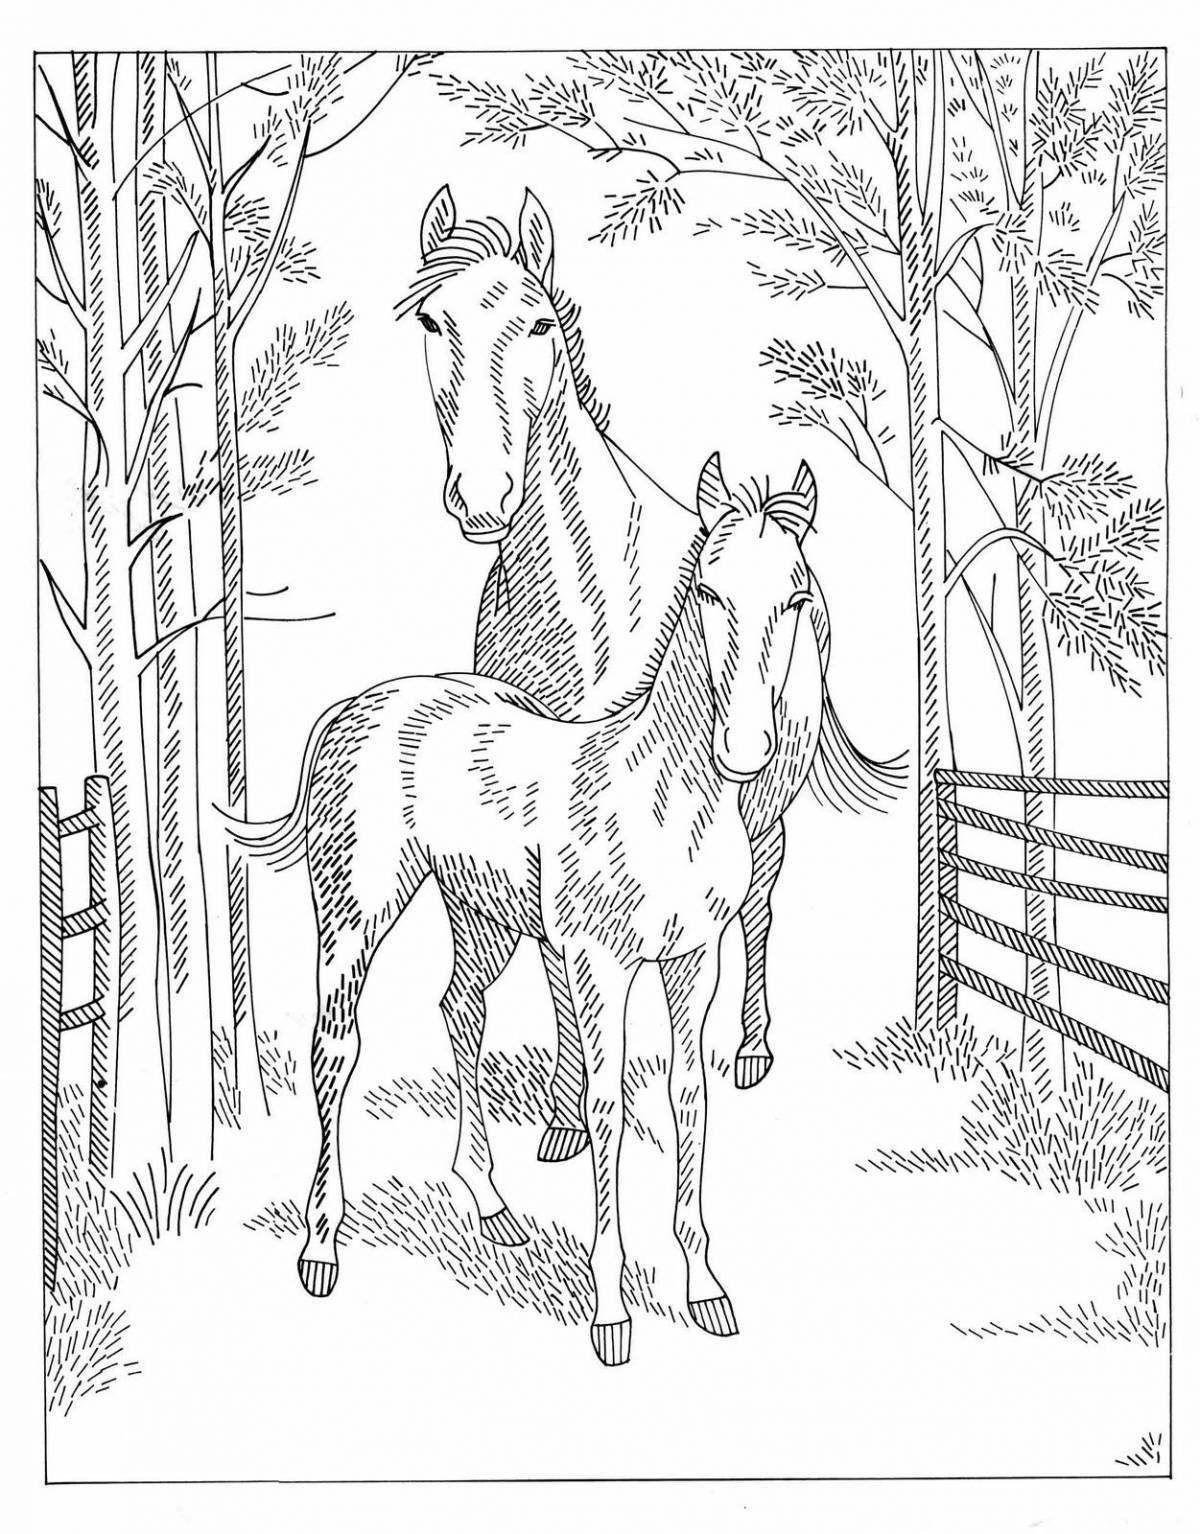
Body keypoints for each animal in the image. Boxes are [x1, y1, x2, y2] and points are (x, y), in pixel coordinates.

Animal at [230, 461, 823, 1365]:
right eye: (708, 590)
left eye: (794, 595)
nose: (748, 749)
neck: (664, 797)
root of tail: (352, 708)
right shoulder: (599, 962)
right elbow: (607, 1106)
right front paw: (610, 1311)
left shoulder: (692, 958)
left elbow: (688, 1096)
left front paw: (706, 1289)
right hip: (354, 913)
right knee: (333, 1051)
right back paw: (322, 1248)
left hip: (483, 912)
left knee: (458, 1008)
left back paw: (491, 1204)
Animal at [398, 185, 904, 1162]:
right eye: (433, 322)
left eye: (538, 325)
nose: (481, 497)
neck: (576, 591)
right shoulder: (541, 815)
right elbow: (560, 965)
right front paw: (565, 1115)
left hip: (767, 800)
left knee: (759, 904)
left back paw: (747, 1046)